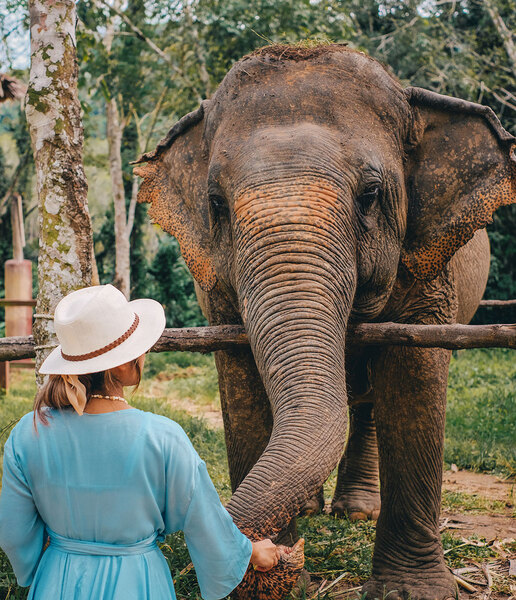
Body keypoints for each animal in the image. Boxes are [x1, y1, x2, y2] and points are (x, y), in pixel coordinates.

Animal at [133, 44, 515, 600]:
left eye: (371, 194)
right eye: (216, 203)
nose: (281, 556)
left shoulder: (431, 271)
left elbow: (413, 380)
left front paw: (409, 592)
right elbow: (242, 381)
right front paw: (272, 582)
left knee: (371, 401)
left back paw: (354, 513)